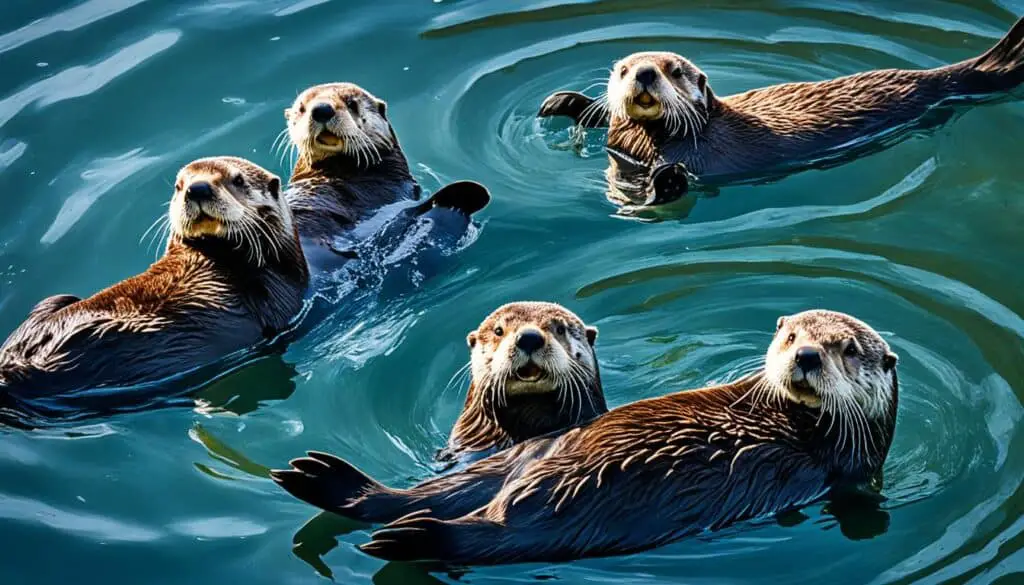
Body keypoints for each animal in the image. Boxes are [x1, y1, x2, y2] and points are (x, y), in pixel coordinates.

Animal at [539, 16, 1024, 205]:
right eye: (623, 69)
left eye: (673, 70)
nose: (643, 73)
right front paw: (565, 102)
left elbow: (672, 185)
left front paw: (666, 180)